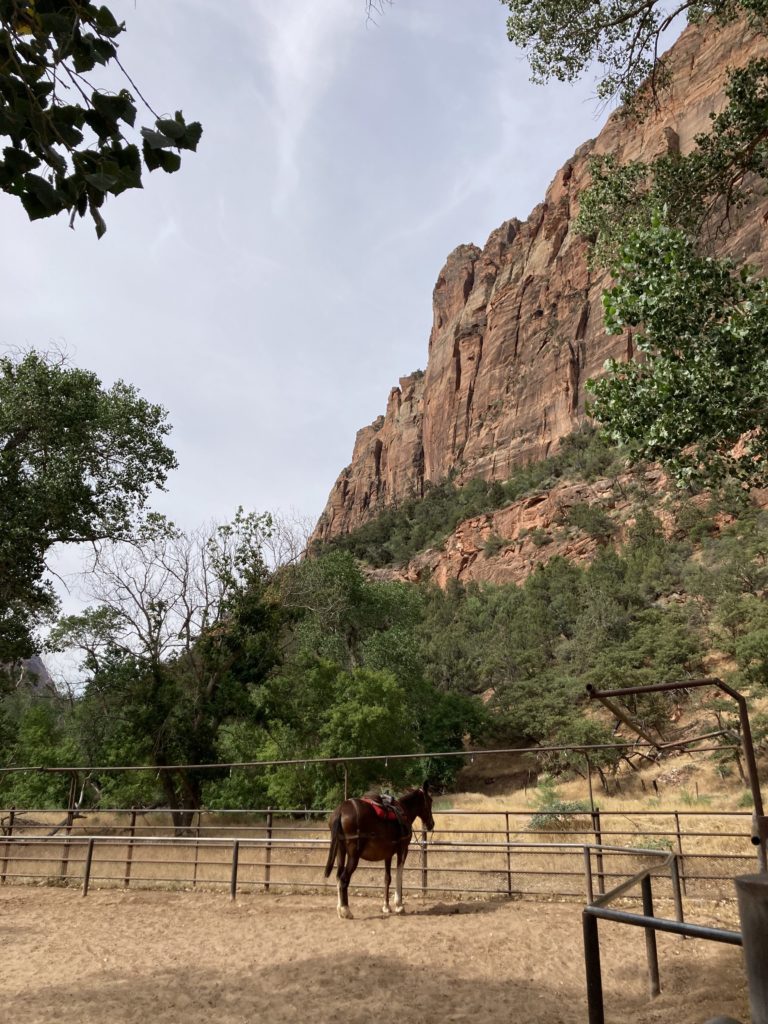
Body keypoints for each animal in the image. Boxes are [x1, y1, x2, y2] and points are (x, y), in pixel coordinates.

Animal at [321, 782, 436, 921]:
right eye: (430, 800)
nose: (431, 824)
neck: (404, 811)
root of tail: (341, 811)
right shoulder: (403, 850)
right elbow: (399, 875)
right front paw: (399, 905)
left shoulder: (388, 854)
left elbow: (387, 878)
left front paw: (386, 906)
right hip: (354, 855)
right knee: (343, 879)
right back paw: (346, 911)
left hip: (340, 851)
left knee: (338, 877)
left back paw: (340, 910)